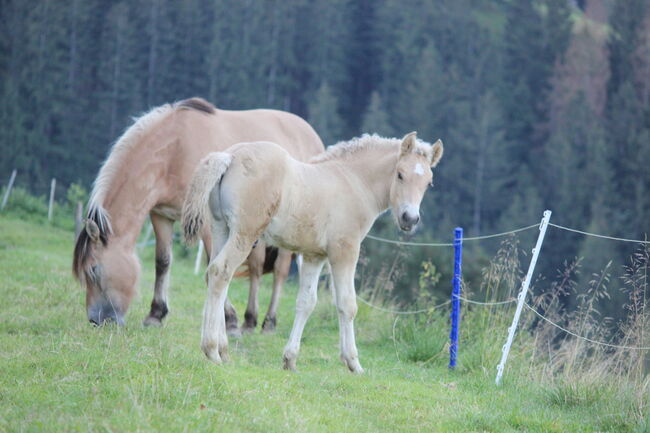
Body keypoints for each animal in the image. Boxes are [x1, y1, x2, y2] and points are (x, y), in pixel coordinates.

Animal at [73, 96, 324, 330]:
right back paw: (250, 320)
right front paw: (156, 314)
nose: (96, 320)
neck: (174, 150)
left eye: (93, 270)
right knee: (256, 267)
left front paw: (229, 319)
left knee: (280, 270)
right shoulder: (161, 216)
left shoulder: (206, 222)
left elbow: (214, 263)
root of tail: (313, 136)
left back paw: (269, 322)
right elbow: (163, 261)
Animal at [181, 132, 440, 372]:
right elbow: (347, 304)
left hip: (221, 229)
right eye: (400, 174)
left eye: (429, 183)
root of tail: (230, 156)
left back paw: (223, 350)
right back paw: (212, 350)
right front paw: (353, 363)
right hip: (245, 233)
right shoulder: (344, 251)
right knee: (220, 272)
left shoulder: (315, 256)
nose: (410, 219)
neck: (354, 183)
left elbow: (306, 302)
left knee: (212, 275)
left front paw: (290, 359)